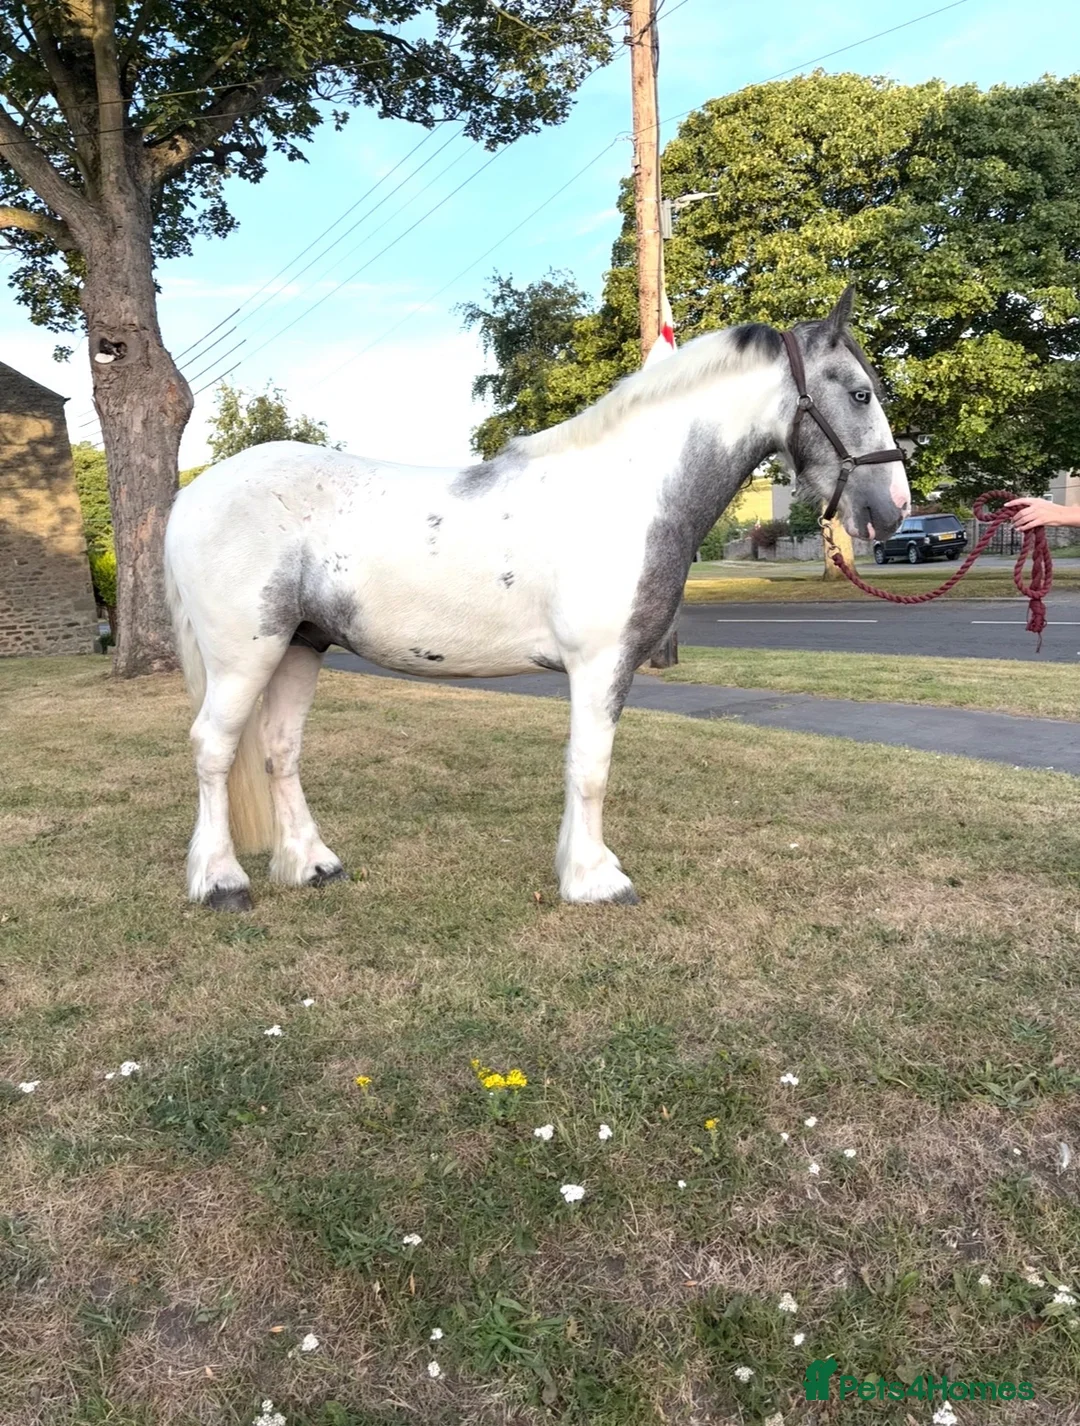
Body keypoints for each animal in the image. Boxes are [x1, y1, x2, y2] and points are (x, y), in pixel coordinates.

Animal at [164, 285, 910, 912]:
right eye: (860, 393)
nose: (893, 509)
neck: (629, 488)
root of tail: (193, 495)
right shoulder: (600, 665)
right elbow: (590, 768)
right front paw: (595, 880)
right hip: (245, 657)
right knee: (212, 749)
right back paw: (222, 882)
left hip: (301, 645)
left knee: (279, 750)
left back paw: (312, 865)